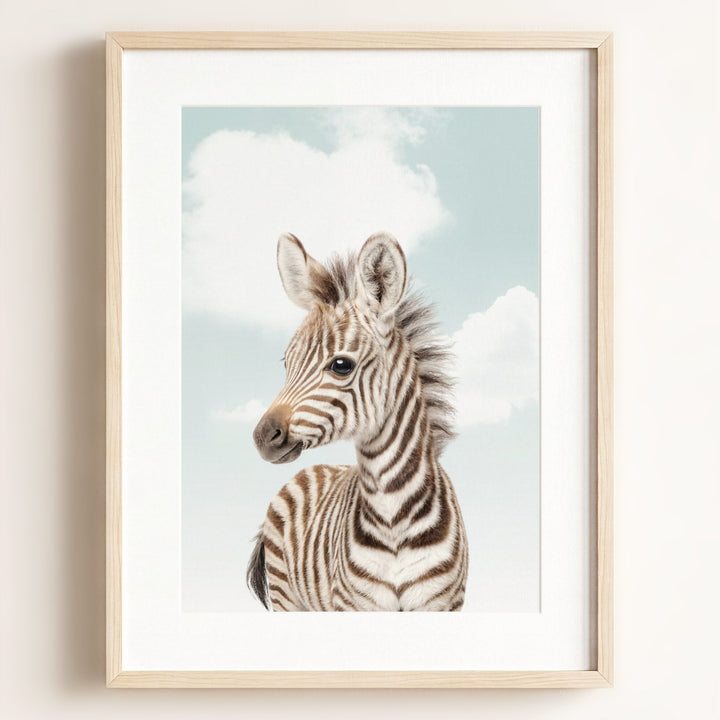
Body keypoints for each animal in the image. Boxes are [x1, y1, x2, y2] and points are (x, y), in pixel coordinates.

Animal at [247, 231, 468, 611]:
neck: (393, 515)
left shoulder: (443, 604)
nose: (263, 436)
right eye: (287, 362)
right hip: (286, 595)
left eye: (341, 365)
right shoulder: (354, 605)